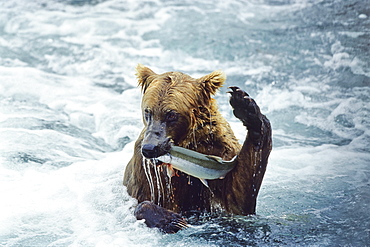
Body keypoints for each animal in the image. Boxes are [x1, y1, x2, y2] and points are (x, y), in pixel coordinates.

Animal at [123, 64, 272, 233]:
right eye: (148, 111)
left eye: (171, 115)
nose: (150, 148)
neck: (189, 144)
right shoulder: (148, 168)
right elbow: (148, 199)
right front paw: (172, 220)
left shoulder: (221, 150)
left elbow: (237, 198)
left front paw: (245, 106)